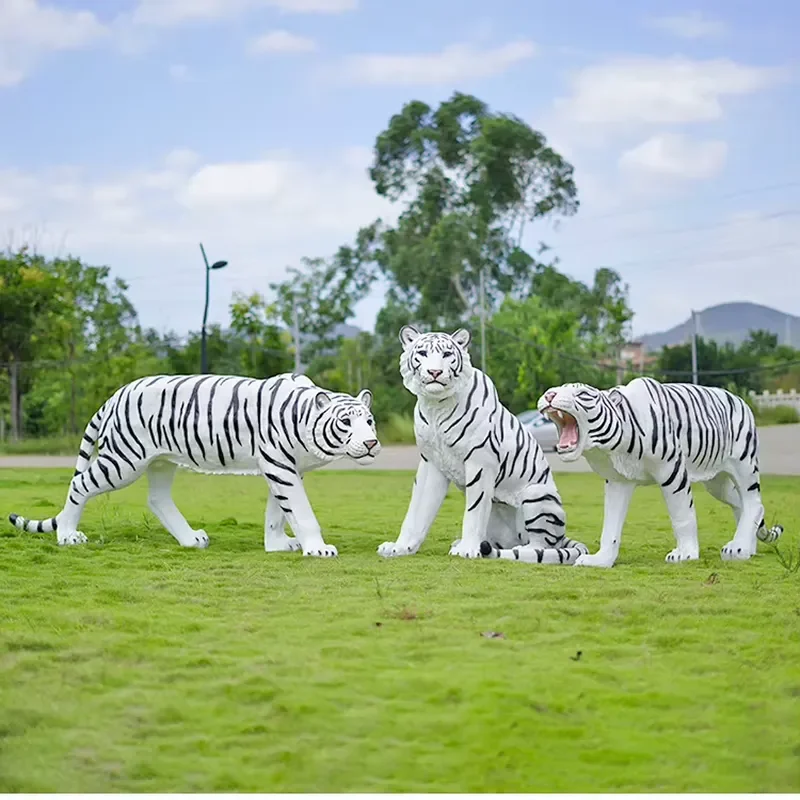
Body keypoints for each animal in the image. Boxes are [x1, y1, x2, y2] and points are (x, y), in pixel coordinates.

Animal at [8, 373, 380, 557]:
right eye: (346, 422)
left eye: (369, 421)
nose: (372, 443)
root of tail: (115, 394)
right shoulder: (281, 467)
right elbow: (301, 512)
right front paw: (318, 549)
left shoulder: (286, 469)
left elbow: (278, 513)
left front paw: (277, 545)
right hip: (124, 461)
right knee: (80, 483)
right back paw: (68, 535)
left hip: (160, 461)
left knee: (156, 499)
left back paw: (190, 540)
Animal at [377, 325, 588, 563]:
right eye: (422, 353)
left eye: (447, 354)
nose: (434, 372)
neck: (436, 406)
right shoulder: (431, 463)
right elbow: (417, 511)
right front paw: (401, 547)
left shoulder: (480, 462)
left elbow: (474, 511)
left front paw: (467, 549)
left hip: (536, 494)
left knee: (540, 545)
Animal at [527, 376, 784, 567]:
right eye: (556, 390)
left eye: (582, 394)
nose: (549, 395)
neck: (614, 446)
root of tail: (741, 400)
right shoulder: (618, 481)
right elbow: (610, 526)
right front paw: (601, 560)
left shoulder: (673, 472)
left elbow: (682, 516)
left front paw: (686, 554)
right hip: (716, 482)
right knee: (743, 504)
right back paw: (746, 548)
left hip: (744, 465)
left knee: (754, 502)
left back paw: (738, 547)